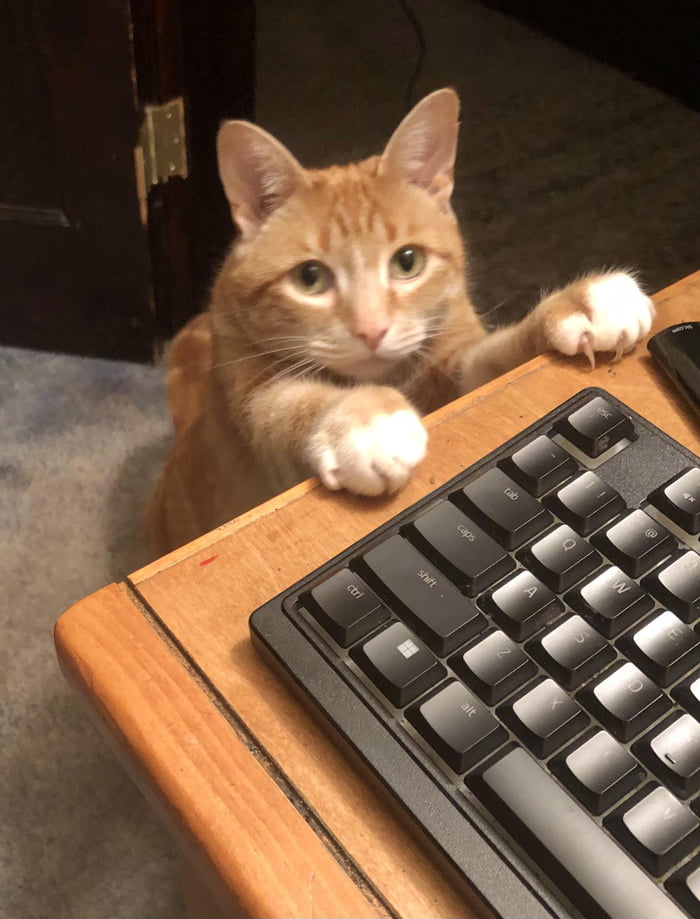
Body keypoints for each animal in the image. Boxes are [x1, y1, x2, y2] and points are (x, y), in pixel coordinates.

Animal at [144, 88, 656, 560]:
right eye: (310, 278)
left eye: (407, 262)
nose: (371, 330)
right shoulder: (252, 403)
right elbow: (290, 405)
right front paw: (363, 422)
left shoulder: (458, 367)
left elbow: (497, 355)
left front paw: (583, 303)